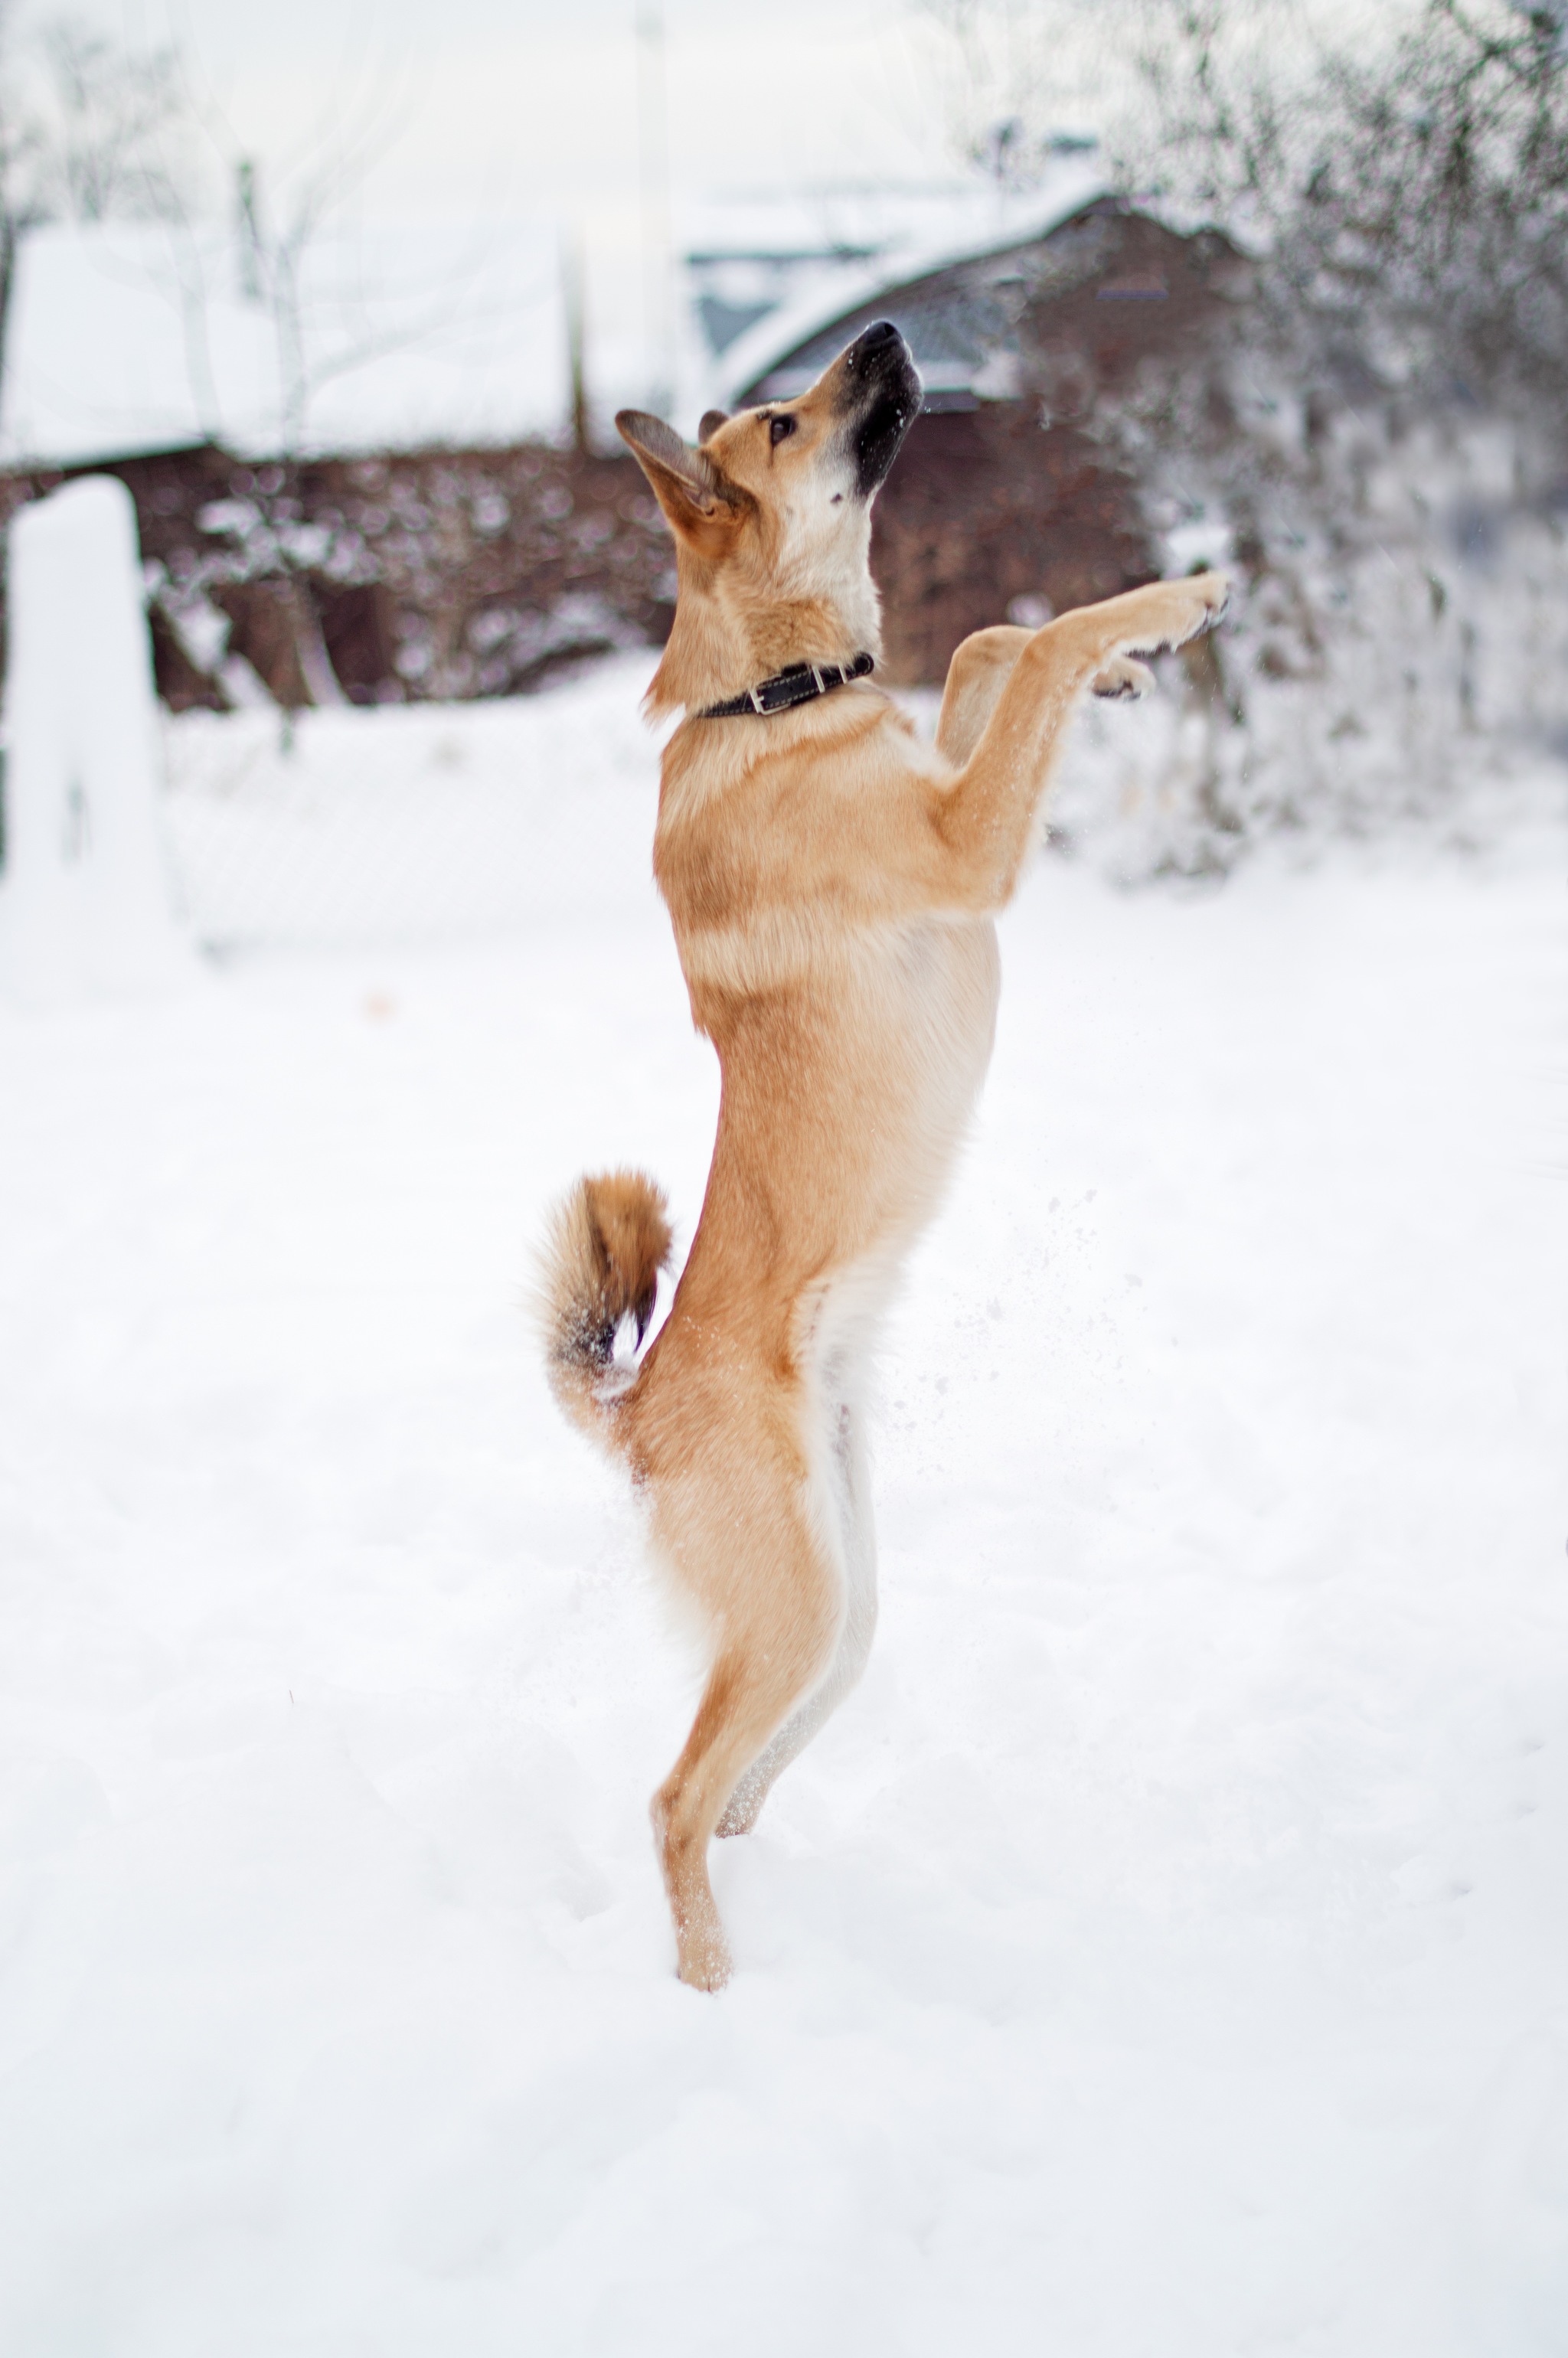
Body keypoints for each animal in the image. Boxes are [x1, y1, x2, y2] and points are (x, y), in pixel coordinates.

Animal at [544, 318, 1226, 1990]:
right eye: (787, 422)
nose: (887, 334)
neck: (777, 700)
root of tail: (637, 1410)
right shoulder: (966, 848)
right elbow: (1032, 641)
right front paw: (1166, 605)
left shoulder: (951, 780)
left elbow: (986, 640)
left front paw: (1129, 664)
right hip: (796, 1597)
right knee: (668, 1794)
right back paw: (710, 1983)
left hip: (835, 1594)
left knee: (759, 1744)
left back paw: (754, 1841)